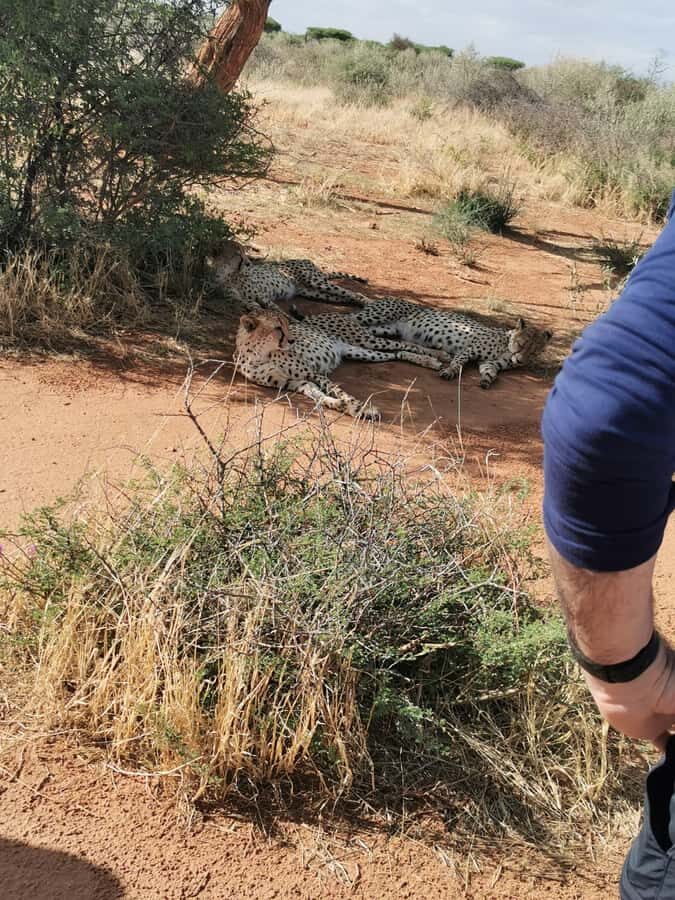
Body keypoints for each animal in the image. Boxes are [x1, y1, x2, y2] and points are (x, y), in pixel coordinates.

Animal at [211, 241, 369, 313]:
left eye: (244, 252)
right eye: (238, 254)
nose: (249, 263)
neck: (228, 274)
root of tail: (305, 260)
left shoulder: (262, 296)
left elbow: (275, 309)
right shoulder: (241, 300)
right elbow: (255, 307)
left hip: (315, 281)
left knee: (352, 293)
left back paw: (369, 303)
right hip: (313, 292)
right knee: (347, 296)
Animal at [234, 309, 448, 420]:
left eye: (287, 325)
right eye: (278, 328)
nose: (293, 340)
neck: (260, 354)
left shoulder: (313, 373)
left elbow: (338, 390)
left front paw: (359, 408)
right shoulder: (293, 382)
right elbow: (319, 396)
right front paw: (340, 406)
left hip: (365, 340)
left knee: (405, 344)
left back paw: (439, 355)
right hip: (360, 352)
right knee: (396, 354)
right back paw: (431, 360)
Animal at [354, 297, 553, 388]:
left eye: (534, 352)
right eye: (522, 344)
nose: (520, 361)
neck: (507, 347)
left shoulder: (488, 363)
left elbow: (491, 373)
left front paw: (486, 381)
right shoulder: (469, 349)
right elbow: (458, 363)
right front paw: (449, 371)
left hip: (385, 329)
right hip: (375, 317)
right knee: (349, 318)